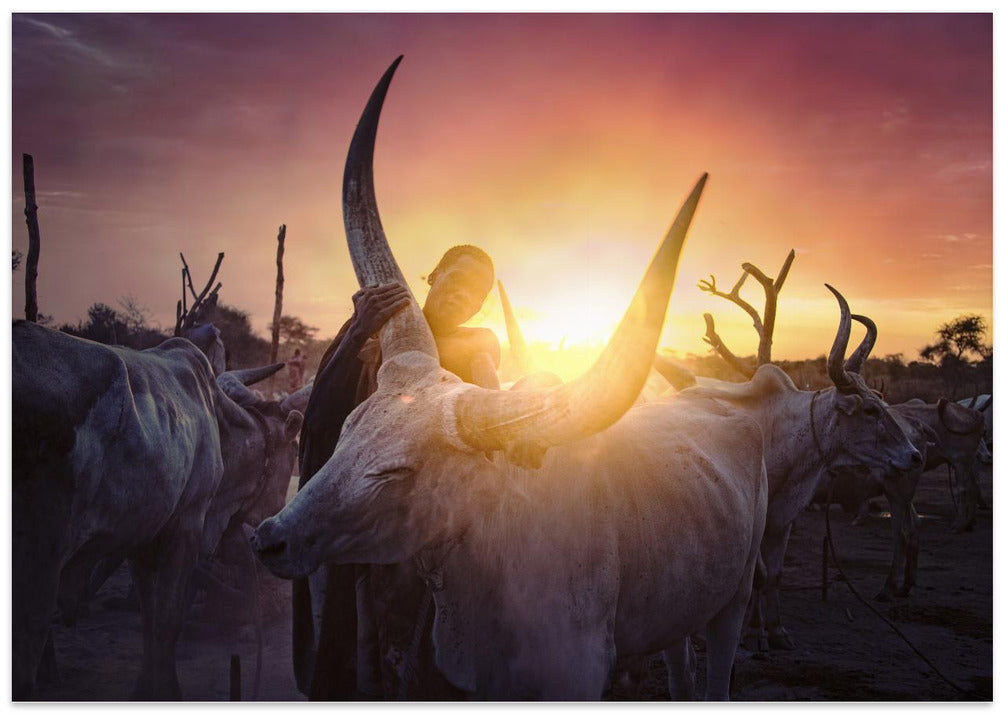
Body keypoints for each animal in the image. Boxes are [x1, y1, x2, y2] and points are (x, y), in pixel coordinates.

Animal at [12, 320, 309, 700]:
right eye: (294, 450)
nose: (277, 511)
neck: (218, 422)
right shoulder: (185, 527)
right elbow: (168, 620)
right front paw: (168, 690)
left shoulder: (142, 537)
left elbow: (150, 619)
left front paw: (145, 688)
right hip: (39, 563)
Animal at [253, 56, 768, 700]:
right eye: (345, 432)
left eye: (399, 474)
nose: (269, 537)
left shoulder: (572, 674)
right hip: (678, 606)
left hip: (736, 598)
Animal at [657, 297, 922, 651]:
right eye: (869, 410)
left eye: (882, 403)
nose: (914, 455)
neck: (781, 435)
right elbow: (759, 576)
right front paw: (755, 632)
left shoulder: (782, 521)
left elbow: (775, 575)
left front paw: (776, 630)